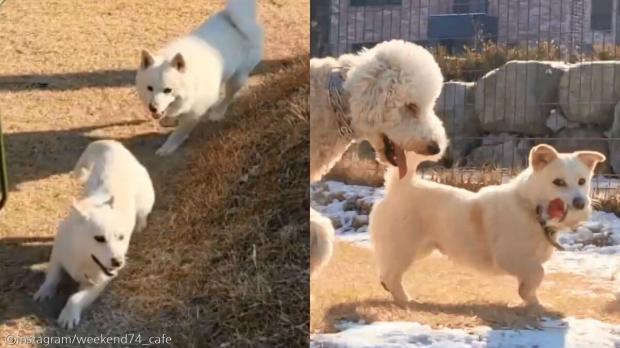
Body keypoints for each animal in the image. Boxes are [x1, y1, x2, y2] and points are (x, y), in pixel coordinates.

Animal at [33, 139, 155, 328]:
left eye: (121, 238)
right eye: (99, 238)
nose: (118, 262)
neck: (80, 253)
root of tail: (115, 146)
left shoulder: (97, 283)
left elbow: (75, 298)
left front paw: (68, 315)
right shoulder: (58, 254)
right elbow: (52, 275)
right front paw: (45, 290)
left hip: (145, 202)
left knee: (143, 214)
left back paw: (141, 225)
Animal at [136, 0, 262, 156]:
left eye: (168, 90)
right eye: (149, 88)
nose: (152, 108)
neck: (190, 80)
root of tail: (239, 24)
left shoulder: (194, 114)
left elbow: (178, 133)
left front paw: (167, 148)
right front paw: (169, 120)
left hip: (236, 79)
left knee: (228, 97)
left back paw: (217, 113)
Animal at [370, 144, 604, 308]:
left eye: (582, 181)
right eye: (559, 182)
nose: (580, 203)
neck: (529, 208)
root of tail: (401, 185)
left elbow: (535, 278)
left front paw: (532, 301)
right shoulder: (510, 257)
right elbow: (538, 273)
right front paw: (527, 295)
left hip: (418, 249)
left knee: (386, 274)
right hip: (405, 248)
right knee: (391, 276)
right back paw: (405, 299)